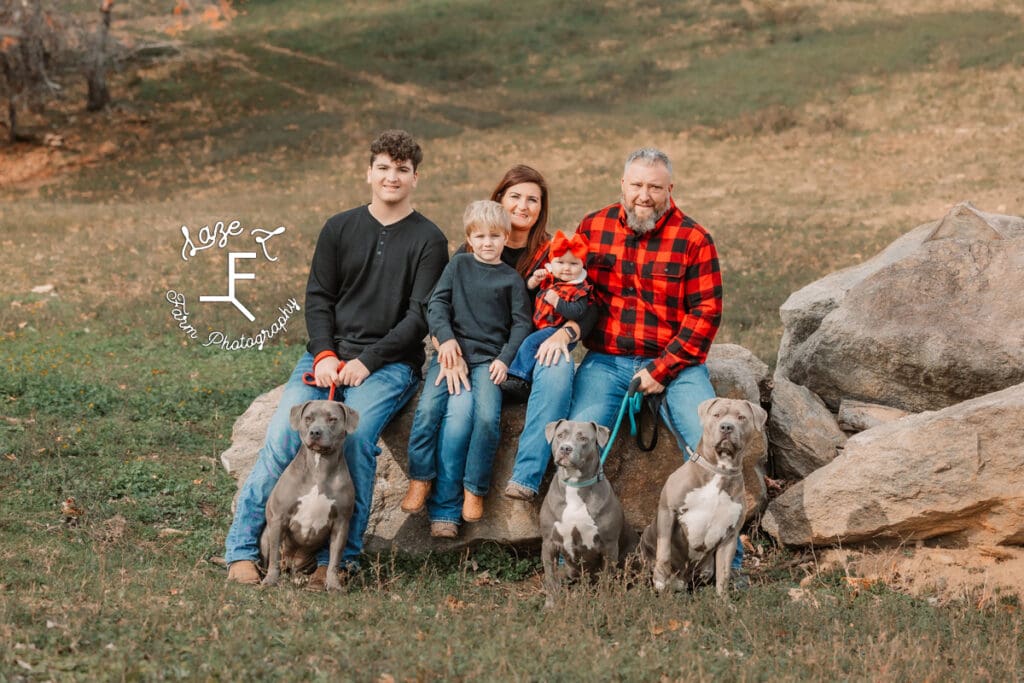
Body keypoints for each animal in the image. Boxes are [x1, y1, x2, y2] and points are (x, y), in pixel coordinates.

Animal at [260, 403, 360, 589]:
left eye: (332, 419)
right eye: (308, 418)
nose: (315, 432)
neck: (319, 467)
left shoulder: (341, 523)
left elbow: (335, 559)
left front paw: (333, 584)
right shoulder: (278, 518)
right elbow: (274, 558)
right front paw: (270, 580)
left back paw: (301, 578)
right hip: (266, 536)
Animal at [536, 421, 638, 610]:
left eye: (583, 438)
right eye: (560, 435)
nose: (565, 448)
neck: (575, 486)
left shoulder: (609, 546)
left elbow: (606, 579)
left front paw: (604, 604)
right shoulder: (548, 543)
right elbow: (550, 577)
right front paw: (551, 605)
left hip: (633, 555)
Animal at [638, 397, 770, 593]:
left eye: (741, 417)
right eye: (717, 415)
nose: (726, 427)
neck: (720, 470)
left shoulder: (729, 536)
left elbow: (723, 575)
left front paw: (723, 600)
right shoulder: (667, 511)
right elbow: (664, 551)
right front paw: (661, 579)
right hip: (646, 538)